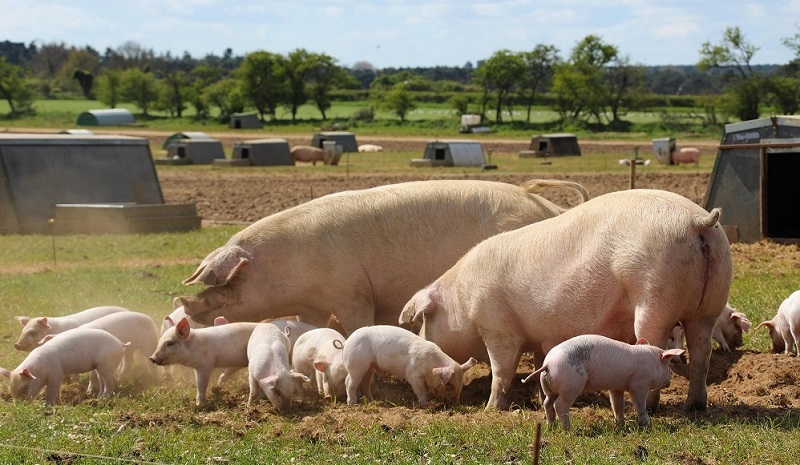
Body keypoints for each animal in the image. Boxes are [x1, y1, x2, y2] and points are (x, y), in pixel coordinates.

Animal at [342, 322, 476, 406]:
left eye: (461, 384)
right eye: (449, 385)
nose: (455, 404)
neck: (430, 366)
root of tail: (347, 342)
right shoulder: (413, 375)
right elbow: (421, 391)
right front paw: (425, 404)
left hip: (369, 367)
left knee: (364, 384)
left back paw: (373, 401)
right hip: (356, 364)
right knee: (349, 382)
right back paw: (352, 404)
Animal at [404, 188, 736, 410]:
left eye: (426, 320)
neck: (462, 301)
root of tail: (698, 221)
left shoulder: (497, 327)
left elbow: (502, 370)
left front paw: (490, 410)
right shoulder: (540, 337)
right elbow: (541, 363)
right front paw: (541, 399)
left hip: (654, 298)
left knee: (656, 348)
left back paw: (650, 407)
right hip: (711, 303)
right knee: (702, 352)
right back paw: (694, 407)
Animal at [520, 334, 684, 428]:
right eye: (668, 365)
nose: (669, 382)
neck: (651, 362)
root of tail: (547, 364)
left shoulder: (616, 386)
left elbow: (617, 405)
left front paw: (620, 424)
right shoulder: (639, 384)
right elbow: (639, 404)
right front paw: (646, 425)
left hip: (549, 387)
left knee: (547, 403)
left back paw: (551, 427)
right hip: (571, 384)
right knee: (559, 405)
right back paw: (568, 430)